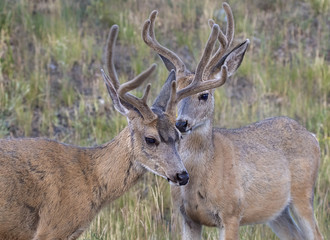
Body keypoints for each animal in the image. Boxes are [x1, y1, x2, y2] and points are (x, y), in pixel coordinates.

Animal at [143, 2, 324, 240]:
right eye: (171, 99)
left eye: (204, 95)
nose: (181, 123)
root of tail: (312, 136)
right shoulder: (187, 217)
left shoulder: (231, 213)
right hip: (277, 212)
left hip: (303, 194)